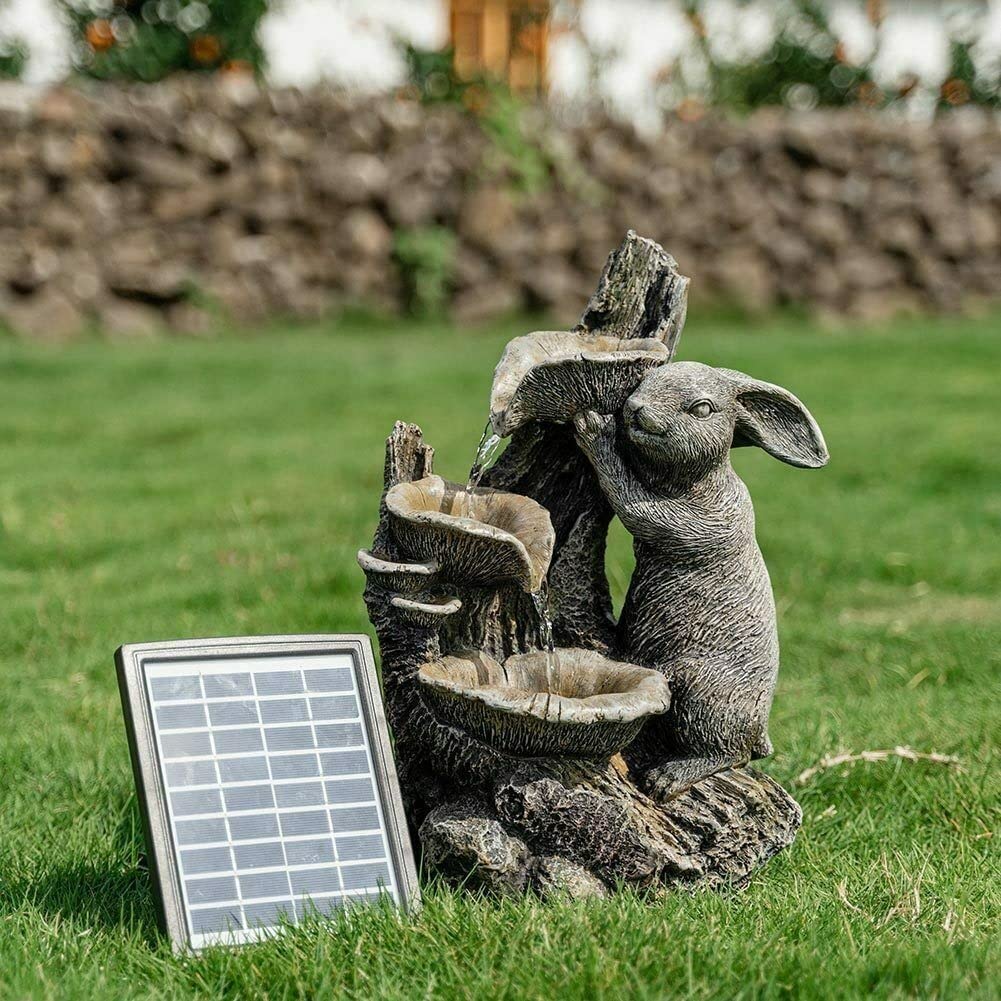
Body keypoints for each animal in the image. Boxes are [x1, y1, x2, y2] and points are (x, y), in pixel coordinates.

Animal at [572, 361, 828, 801]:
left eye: (702, 409)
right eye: (645, 382)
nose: (635, 409)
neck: (699, 479)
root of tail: (760, 730)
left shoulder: (696, 523)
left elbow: (633, 503)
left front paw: (593, 428)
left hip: (697, 689)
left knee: (731, 753)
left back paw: (667, 778)